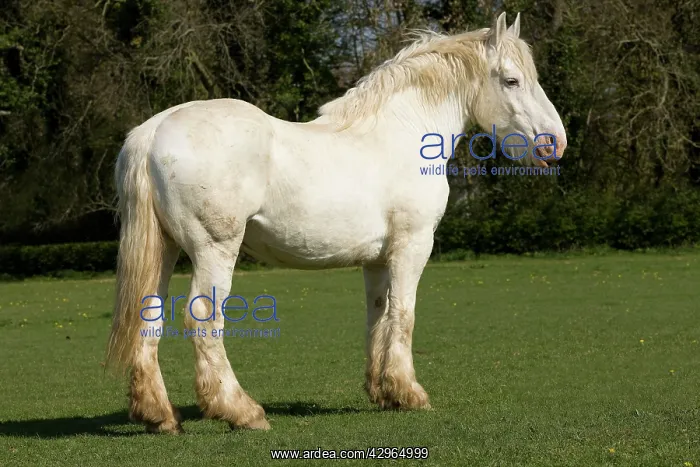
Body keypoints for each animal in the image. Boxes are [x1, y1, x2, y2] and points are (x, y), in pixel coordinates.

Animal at [106, 12, 567, 434]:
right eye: (512, 81)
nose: (555, 143)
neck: (402, 132)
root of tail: (155, 129)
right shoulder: (413, 246)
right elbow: (405, 314)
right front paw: (411, 393)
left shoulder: (377, 260)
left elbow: (379, 315)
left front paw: (385, 392)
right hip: (214, 249)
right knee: (204, 320)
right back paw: (242, 411)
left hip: (164, 250)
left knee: (150, 318)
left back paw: (160, 415)